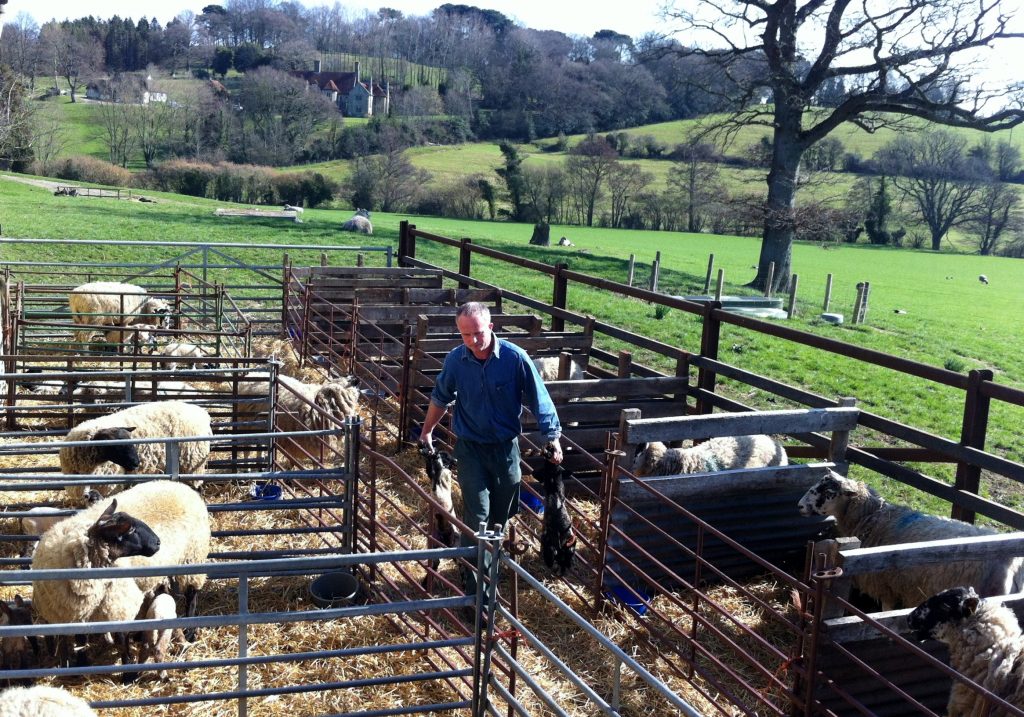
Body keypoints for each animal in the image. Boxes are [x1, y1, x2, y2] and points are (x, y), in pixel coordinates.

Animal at [798, 471, 1024, 610]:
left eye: (829, 492)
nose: (799, 506)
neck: (874, 517)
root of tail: (1013, 563)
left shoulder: (886, 586)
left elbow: (885, 611)